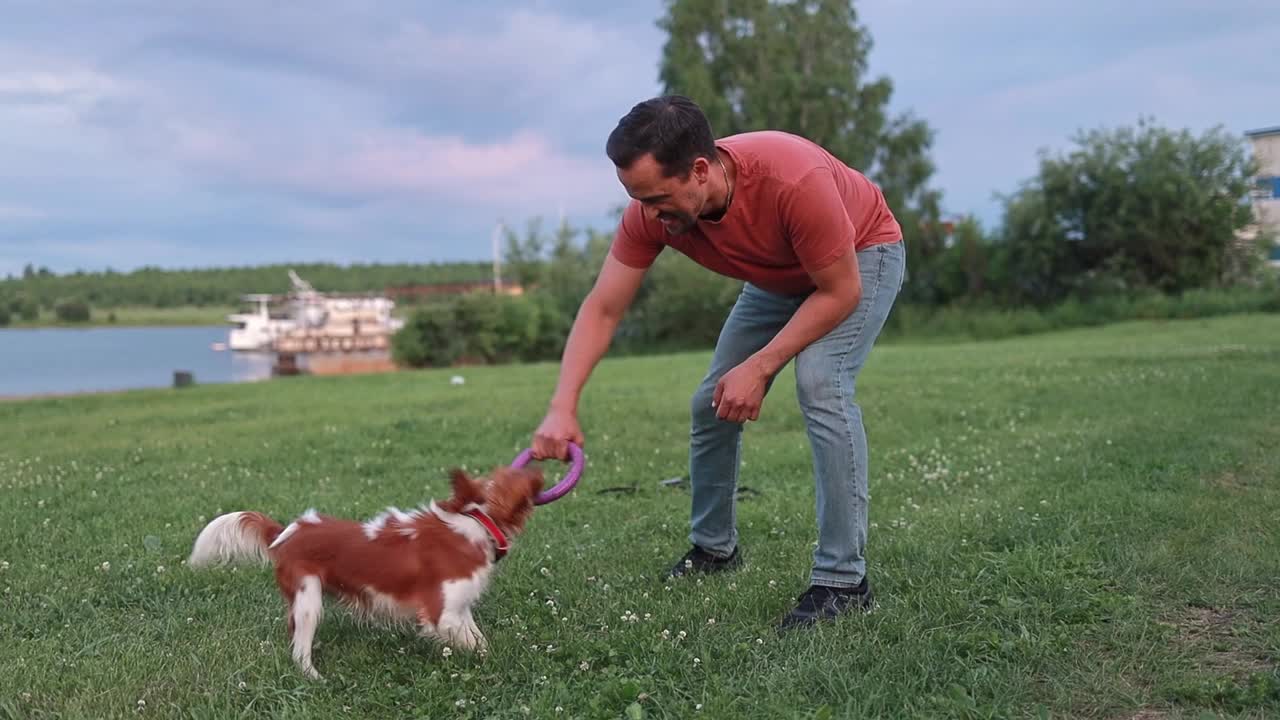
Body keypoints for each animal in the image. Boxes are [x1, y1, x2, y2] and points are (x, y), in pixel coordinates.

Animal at [186, 461, 542, 676]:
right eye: (516, 477)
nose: (538, 465)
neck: (476, 522)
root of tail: (285, 532)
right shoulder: (441, 614)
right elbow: (474, 645)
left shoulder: (459, 607)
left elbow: (479, 639)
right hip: (309, 599)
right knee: (299, 650)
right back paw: (314, 677)